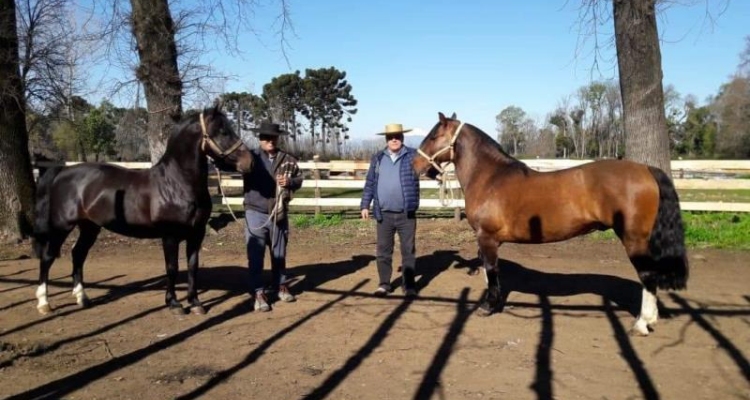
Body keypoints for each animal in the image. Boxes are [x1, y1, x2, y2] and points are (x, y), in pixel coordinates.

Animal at [32, 102, 254, 316]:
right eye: (223, 131)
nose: (249, 162)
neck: (177, 183)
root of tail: (62, 171)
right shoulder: (170, 236)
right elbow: (172, 268)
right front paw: (174, 303)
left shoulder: (196, 234)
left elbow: (193, 267)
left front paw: (195, 303)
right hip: (62, 226)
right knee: (48, 257)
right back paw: (44, 303)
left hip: (90, 227)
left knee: (78, 254)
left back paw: (82, 298)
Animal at [414, 111, 692, 334]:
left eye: (433, 136)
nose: (415, 165)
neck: (491, 178)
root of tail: (646, 169)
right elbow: (492, 271)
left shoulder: (487, 237)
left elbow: (491, 270)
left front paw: (488, 306)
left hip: (635, 240)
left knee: (648, 276)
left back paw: (642, 323)